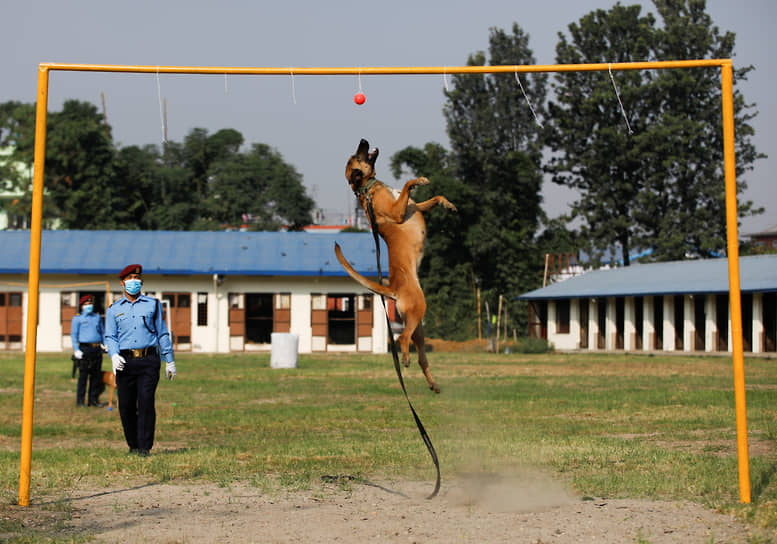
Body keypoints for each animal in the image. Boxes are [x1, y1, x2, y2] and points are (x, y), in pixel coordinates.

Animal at [334, 138, 454, 394]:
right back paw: (406, 359)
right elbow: (409, 184)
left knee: (420, 356)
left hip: (418, 326)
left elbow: (432, 199)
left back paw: (432, 383)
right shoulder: (399, 211)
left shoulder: (415, 206)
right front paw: (419, 180)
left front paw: (447, 203)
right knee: (401, 339)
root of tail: (394, 290)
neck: (368, 189)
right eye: (356, 157)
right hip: (418, 310)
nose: (363, 140)